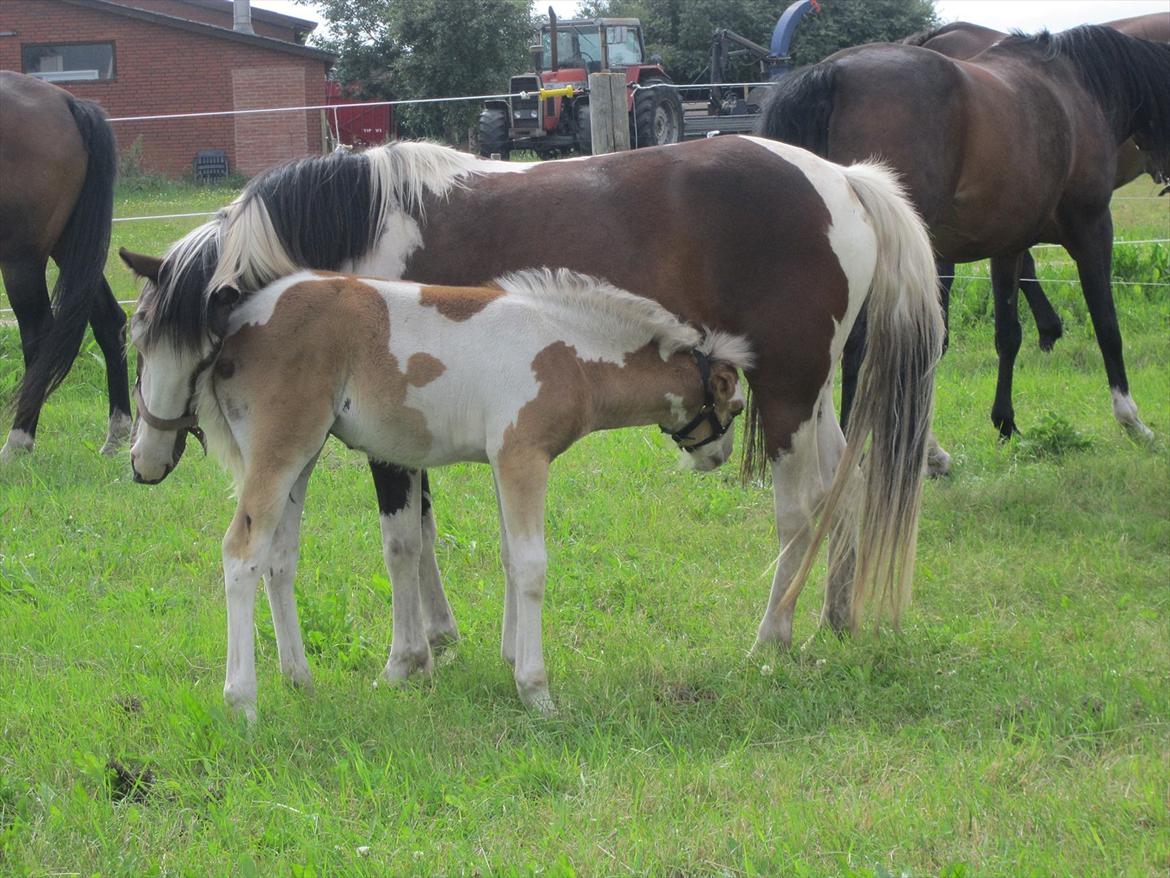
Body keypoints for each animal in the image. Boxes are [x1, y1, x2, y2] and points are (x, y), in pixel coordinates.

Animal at [0, 70, 129, 461]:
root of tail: (66, 103)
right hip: (72, 246)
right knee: (110, 321)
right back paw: (116, 436)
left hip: (22, 259)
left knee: (39, 334)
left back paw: (18, 443)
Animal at [121, 137, 940, 664]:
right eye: (137, 344)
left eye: (205, 353)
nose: (145, 463)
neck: (353, 232)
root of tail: (842, 177)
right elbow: (426, 534)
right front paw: (445, 638)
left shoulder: (391, 441)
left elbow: (401, 542)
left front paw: (409, 655)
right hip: (816, 392)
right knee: (845, 487)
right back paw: (835, 616)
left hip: (788, 391)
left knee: (799, 511)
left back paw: (771, 637)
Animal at [125, 264, 748, 716]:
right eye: (736, 407)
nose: (716, 458)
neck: (568, 351)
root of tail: (238, 324)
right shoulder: (523, 456)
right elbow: (532, 566)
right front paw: (535, 690)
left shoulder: (501, 461)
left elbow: (508, 556)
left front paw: (508, 658)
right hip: (280, 452)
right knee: (241, 553)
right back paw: (243, 700)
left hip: (301, 458)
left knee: (279, 559)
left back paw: (299, 679)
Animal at [758, 23, 1170, 449]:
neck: (1077, 87)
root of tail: (832, 74)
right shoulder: (1092, 227)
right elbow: (1106, 322)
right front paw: (1131, 419)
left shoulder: (1009, 246)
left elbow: (1008, 333)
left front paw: (1005, 422)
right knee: (862, 344)